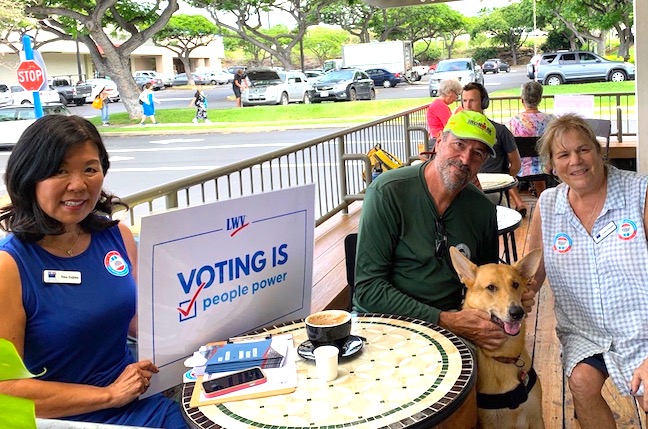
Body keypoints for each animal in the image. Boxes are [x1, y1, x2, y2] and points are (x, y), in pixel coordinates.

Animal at [448, 247, 544, 428]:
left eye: (515, 284)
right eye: (491, 287)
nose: (517, 313)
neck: (504, 358)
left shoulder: (536, 418)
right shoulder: (488, 423)